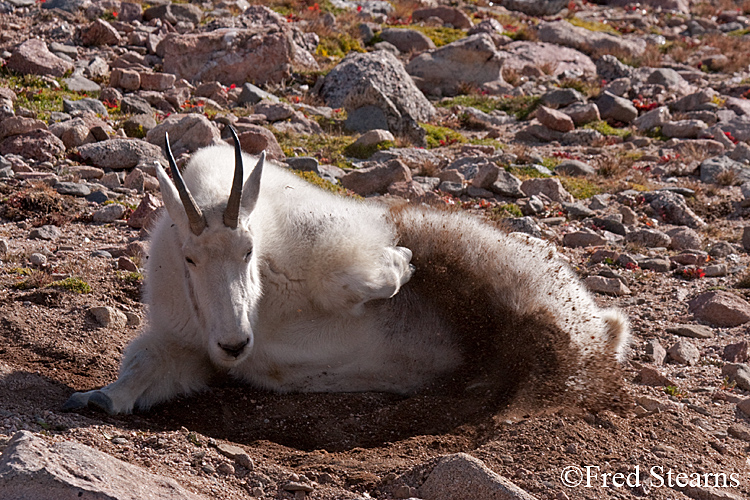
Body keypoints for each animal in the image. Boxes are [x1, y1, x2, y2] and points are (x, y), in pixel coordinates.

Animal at [64, 129, 629, 415]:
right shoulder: (185, 342)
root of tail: (607, 325)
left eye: (248, 250)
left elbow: (360, 279)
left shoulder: (335, 239)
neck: (265, 308)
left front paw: (403, 262)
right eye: (189, 258)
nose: (233, 344)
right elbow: (145, 370)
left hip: (535, 288)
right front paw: (96, 398)